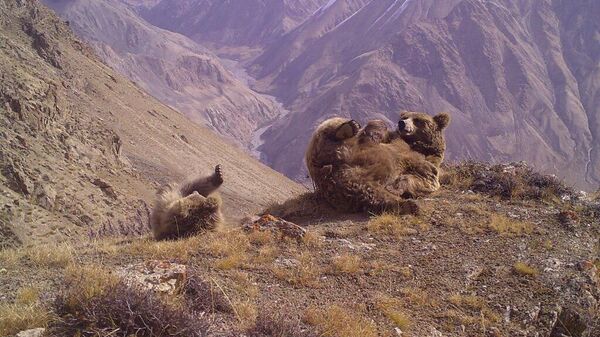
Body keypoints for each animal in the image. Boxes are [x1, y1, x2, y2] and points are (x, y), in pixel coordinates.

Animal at [308, 112, 448, 213]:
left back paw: (408, 204)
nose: (401, 123)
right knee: (330, 126)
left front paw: (396, 187)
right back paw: (349, 127)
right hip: (326, 146)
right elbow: (380, 126)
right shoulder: (393, 139)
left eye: (418, 119)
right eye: (405, 116)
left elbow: (425, 178)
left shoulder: (428, 161)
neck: (415, 144)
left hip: (354, 183)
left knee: (376, 195)